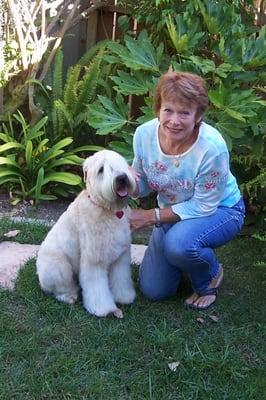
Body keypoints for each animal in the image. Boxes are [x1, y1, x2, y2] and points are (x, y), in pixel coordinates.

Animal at [36, 150, 136, 318]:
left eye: (121, 163)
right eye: (101, 169)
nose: (121, 178)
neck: (106, 209)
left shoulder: (120, 258)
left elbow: (121, 279)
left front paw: (124, 297)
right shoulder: (94, 260)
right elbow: (97, 288)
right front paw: (102, 309)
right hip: (59, 267)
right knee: (60, 288)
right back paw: (69, 296)